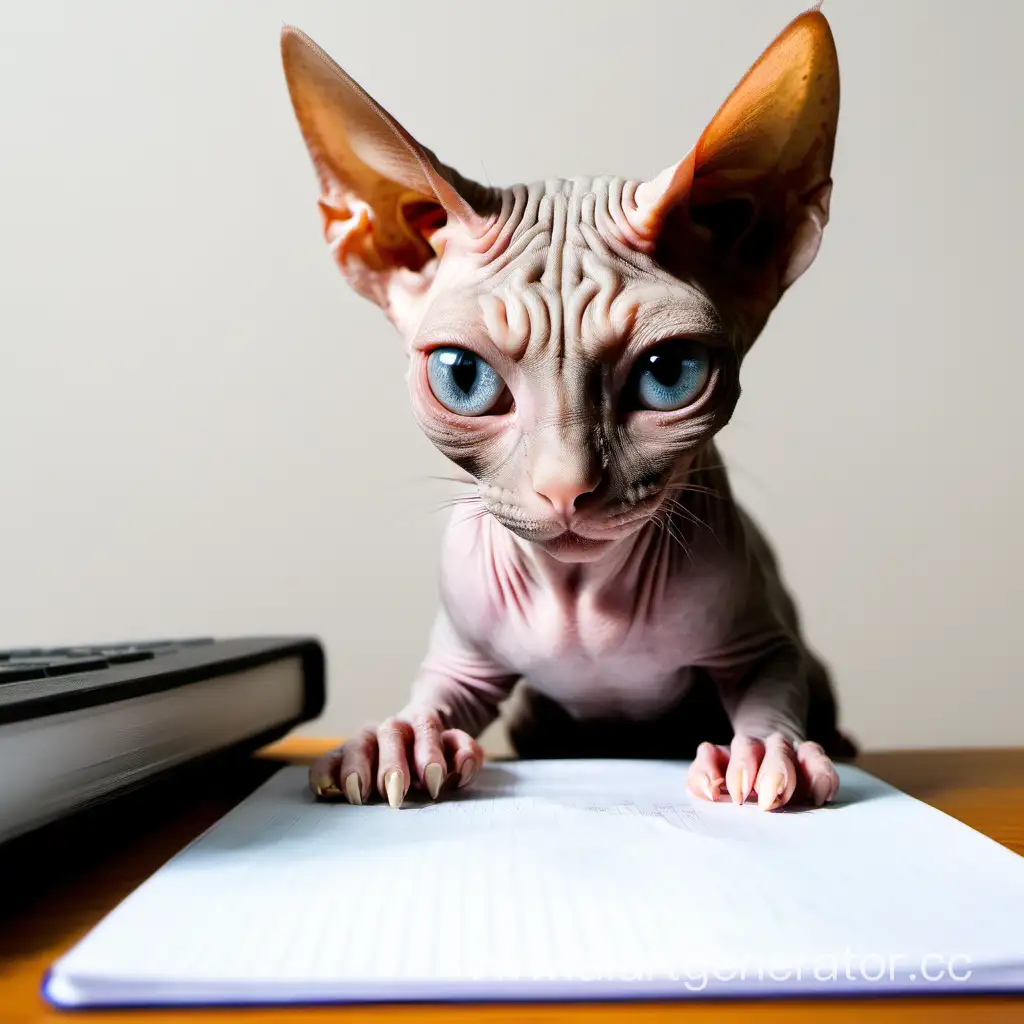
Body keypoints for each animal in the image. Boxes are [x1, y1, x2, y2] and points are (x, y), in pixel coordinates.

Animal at [284, 4, 851, 811]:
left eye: (670, 373)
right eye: (462, 377)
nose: (566, 488)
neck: (580, 602)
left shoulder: (765, 639)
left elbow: (773, 685)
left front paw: (771, 750)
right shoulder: (465, 657)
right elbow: (436, 693)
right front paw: (405, 736)